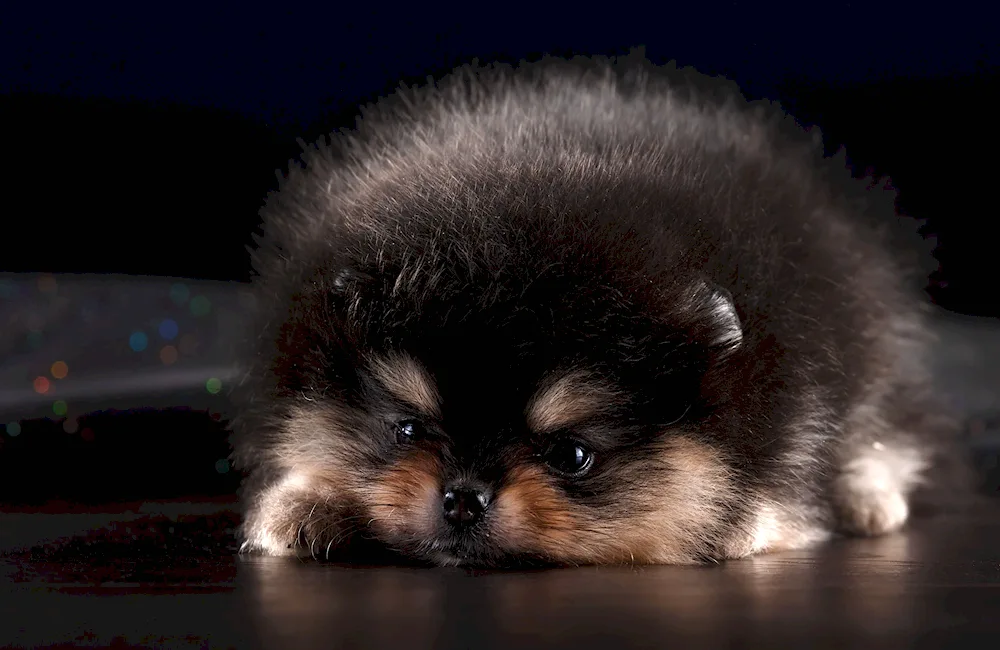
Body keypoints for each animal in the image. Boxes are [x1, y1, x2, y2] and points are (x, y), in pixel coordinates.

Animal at [230, 53, 956, 564]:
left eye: (572, 455)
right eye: (406, 429)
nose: (462, 498)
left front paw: (743, 521)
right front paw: (307, 502)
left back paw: (867, 494)